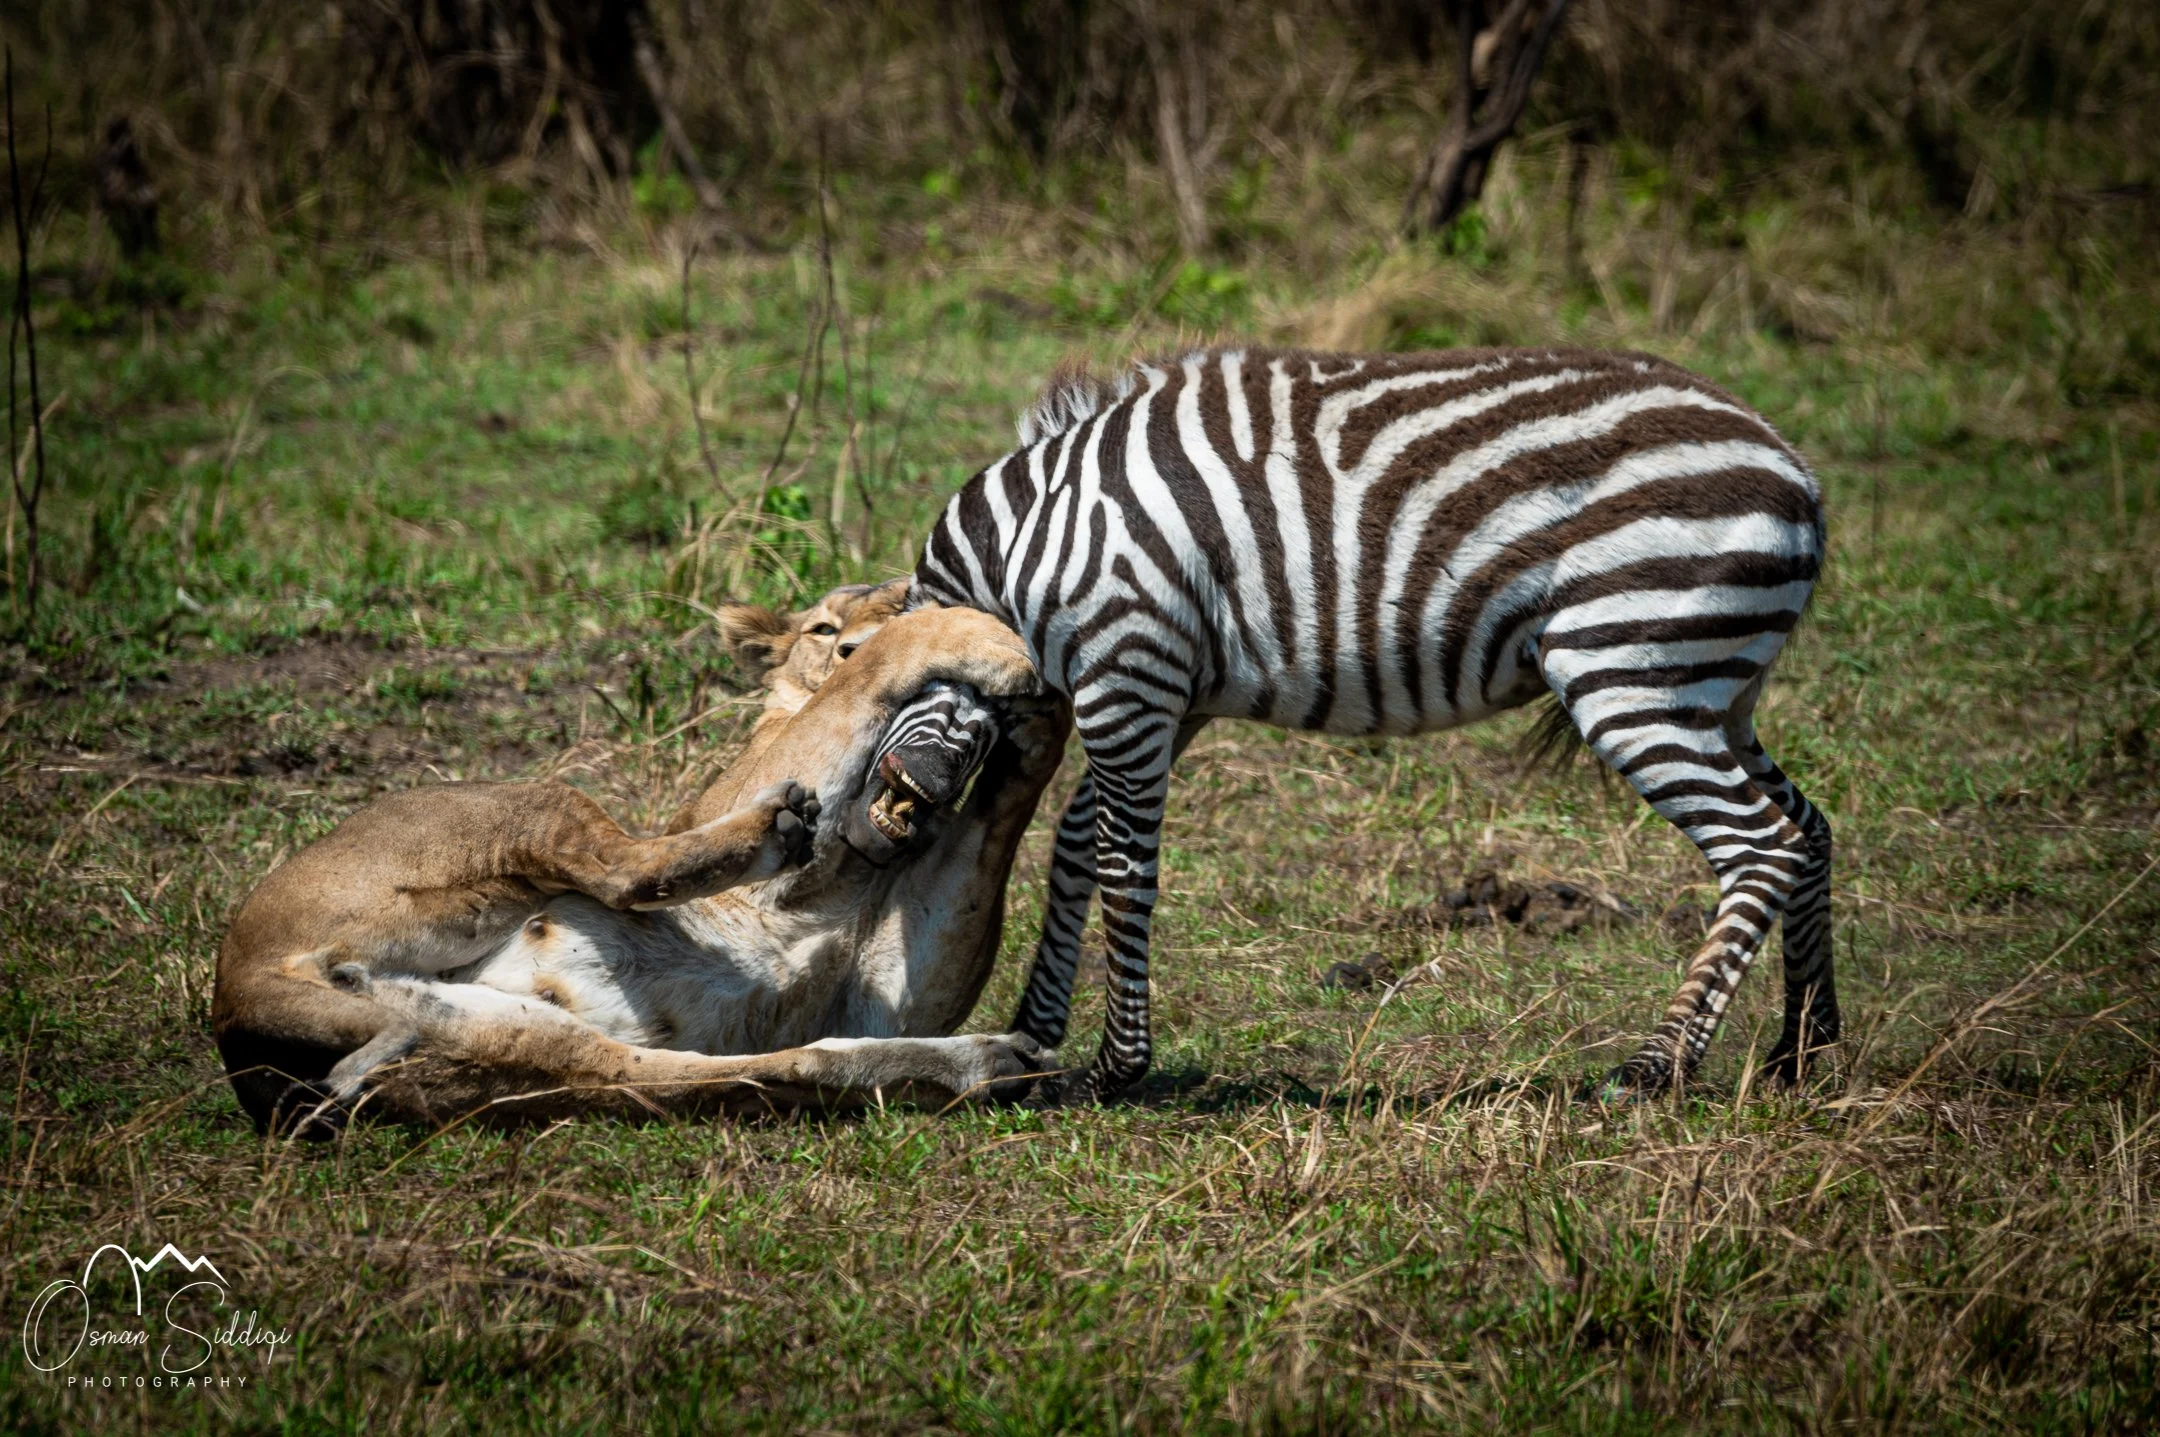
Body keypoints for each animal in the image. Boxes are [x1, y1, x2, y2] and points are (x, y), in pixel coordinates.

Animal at [212, 580, 1069, 1132]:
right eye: (824, 630)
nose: (847, 641)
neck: (868, 853)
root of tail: (231, 998)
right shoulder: (753, 776)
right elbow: (866, 678)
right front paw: (990, 643)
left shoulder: (886, 998)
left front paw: (1033, 715)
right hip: (529, 801)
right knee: (622, 868)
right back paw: (772, 831)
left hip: (514, 1045)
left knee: (775, 1064)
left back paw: (997, 1063)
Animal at [910, 346, 1836, 1103]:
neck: (1021, 549)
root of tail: (1797, 472)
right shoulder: (1175, 691)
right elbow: (1076, 842)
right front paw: (1033, 1037)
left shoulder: (1127, 661)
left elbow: (1121, 863)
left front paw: (1112, 1068)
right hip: (1716, 686)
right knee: (1811, 827)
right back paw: (1805, 1053)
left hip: (1630, 662)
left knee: (1762, 845)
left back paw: (1655, 1066)